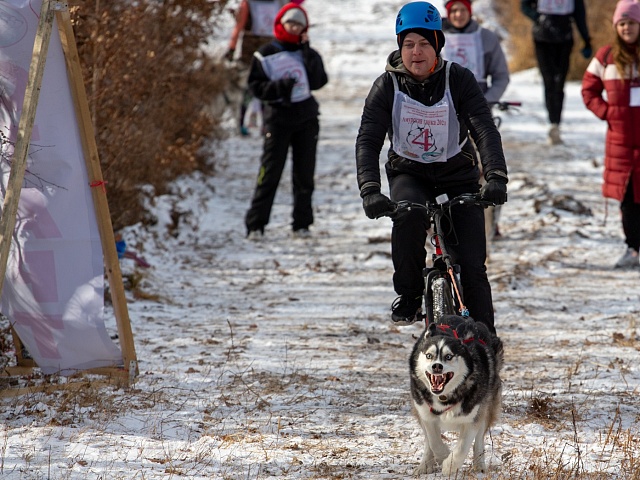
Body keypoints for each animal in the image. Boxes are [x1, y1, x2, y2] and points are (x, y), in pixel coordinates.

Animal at [410, 314, 504, 474]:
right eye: (429, 355)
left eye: (449, 356)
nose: (437, 366)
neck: (445, 396)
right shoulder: (425, 412)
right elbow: (433, 441)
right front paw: (443, 456)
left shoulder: (473, 417)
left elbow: (463, 447)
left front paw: (450, 465)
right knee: (428, 442)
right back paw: (425, 465)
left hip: (487, 405)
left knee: (479, 439)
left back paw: (479, 465)